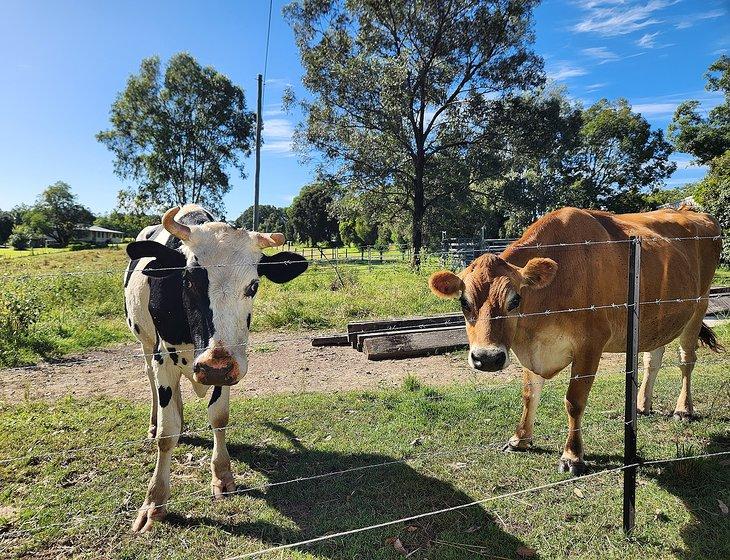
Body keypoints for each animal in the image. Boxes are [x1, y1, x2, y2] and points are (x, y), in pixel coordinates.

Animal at [123, 205, 306, 532]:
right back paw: (155, 421)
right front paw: (154, 501)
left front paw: (222, 475)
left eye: (253, 286)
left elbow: (219, 417)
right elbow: (167, 435)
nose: (214, 364)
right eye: (188, 281)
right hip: (144, 344)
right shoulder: (163, 357)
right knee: (152, 384)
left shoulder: (227, 366)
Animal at [430, 208, 720, 474]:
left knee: (687, 361)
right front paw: (520, 439)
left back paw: (683, 409)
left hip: (699, 306)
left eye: (515, 300)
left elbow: (574, 401)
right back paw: (641, 405)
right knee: (653, 359)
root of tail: (691, 210)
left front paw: (572, 456)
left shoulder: (590, 344)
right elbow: (529, 394)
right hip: (657, 317)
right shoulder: (529, 349)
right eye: (464, 302)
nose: (488, 358)